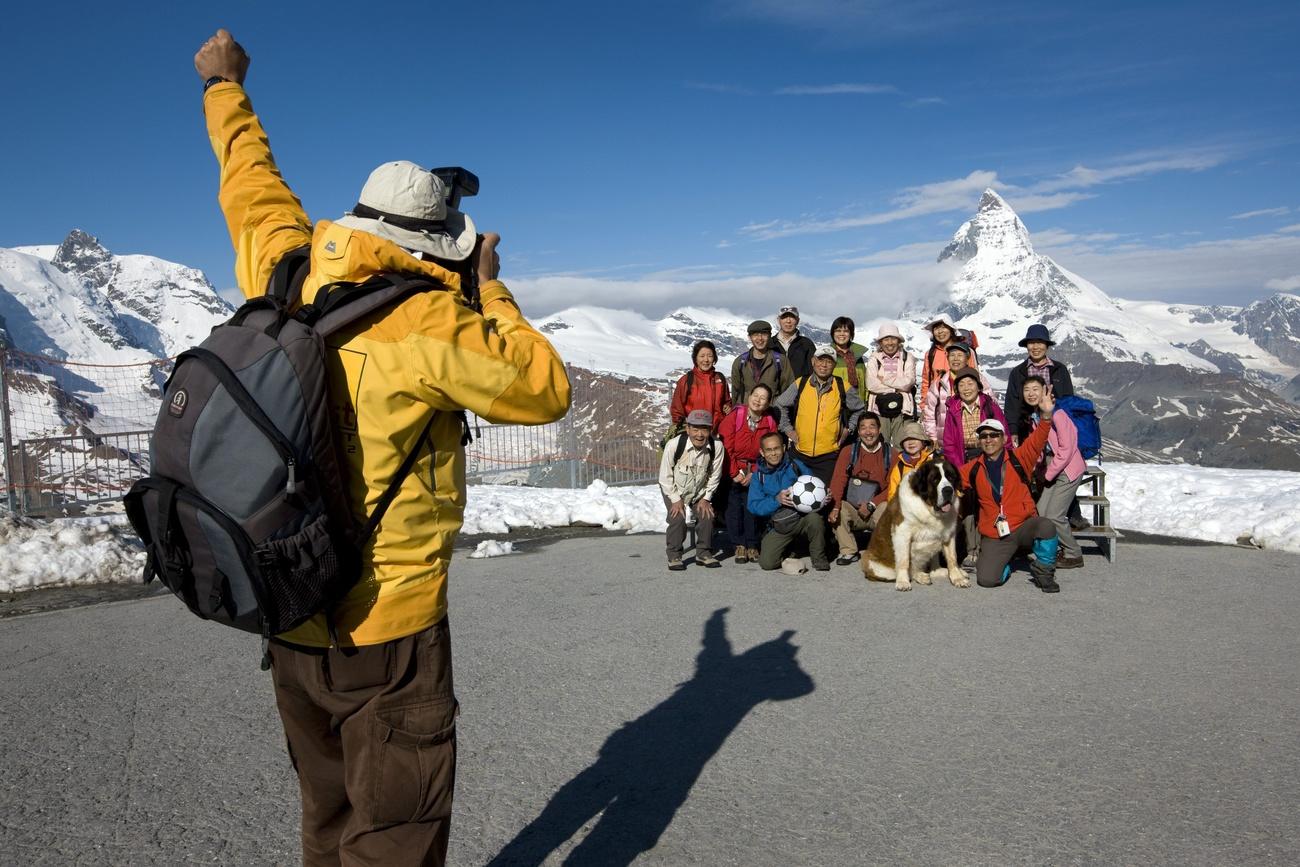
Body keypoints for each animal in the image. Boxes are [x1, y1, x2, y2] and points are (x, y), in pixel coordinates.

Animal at [863, 454, 967, 590]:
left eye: (951, 477)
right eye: (934, 480)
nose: (948, 490)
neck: (928, 508)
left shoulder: (948, 534)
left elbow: (952, 558)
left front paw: (957, 578)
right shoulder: (902, 532)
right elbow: (903, 561)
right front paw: (902, 582)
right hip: (874, 566)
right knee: (909, 570)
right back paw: (920, 577)